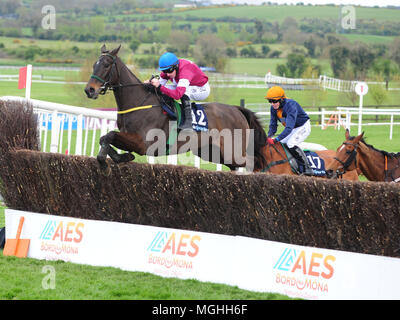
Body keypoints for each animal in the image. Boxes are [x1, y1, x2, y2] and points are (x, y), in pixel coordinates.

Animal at [83, 45, 268, 172]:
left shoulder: (143, 143)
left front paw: (106, 161)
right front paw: (121, 157)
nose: (89, 90)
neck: (139, 102)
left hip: (233, 150)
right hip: (213, 151)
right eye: (94, 65)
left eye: (106, 65)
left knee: (254, 161)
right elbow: (105, 138)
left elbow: (110, 136)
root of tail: (237, 110)